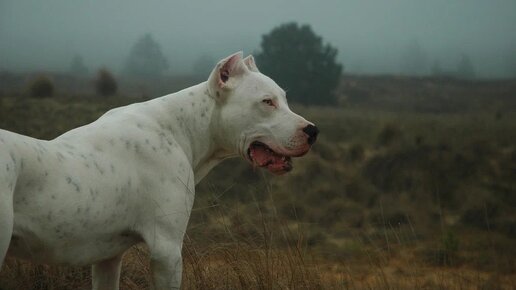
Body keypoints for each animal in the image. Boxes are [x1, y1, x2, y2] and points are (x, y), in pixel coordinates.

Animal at [0, 52, 318, 290]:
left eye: (284, 98)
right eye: (267, 102)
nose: (313, 131)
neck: (182, 127)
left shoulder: (108, 258)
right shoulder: (167, 250)